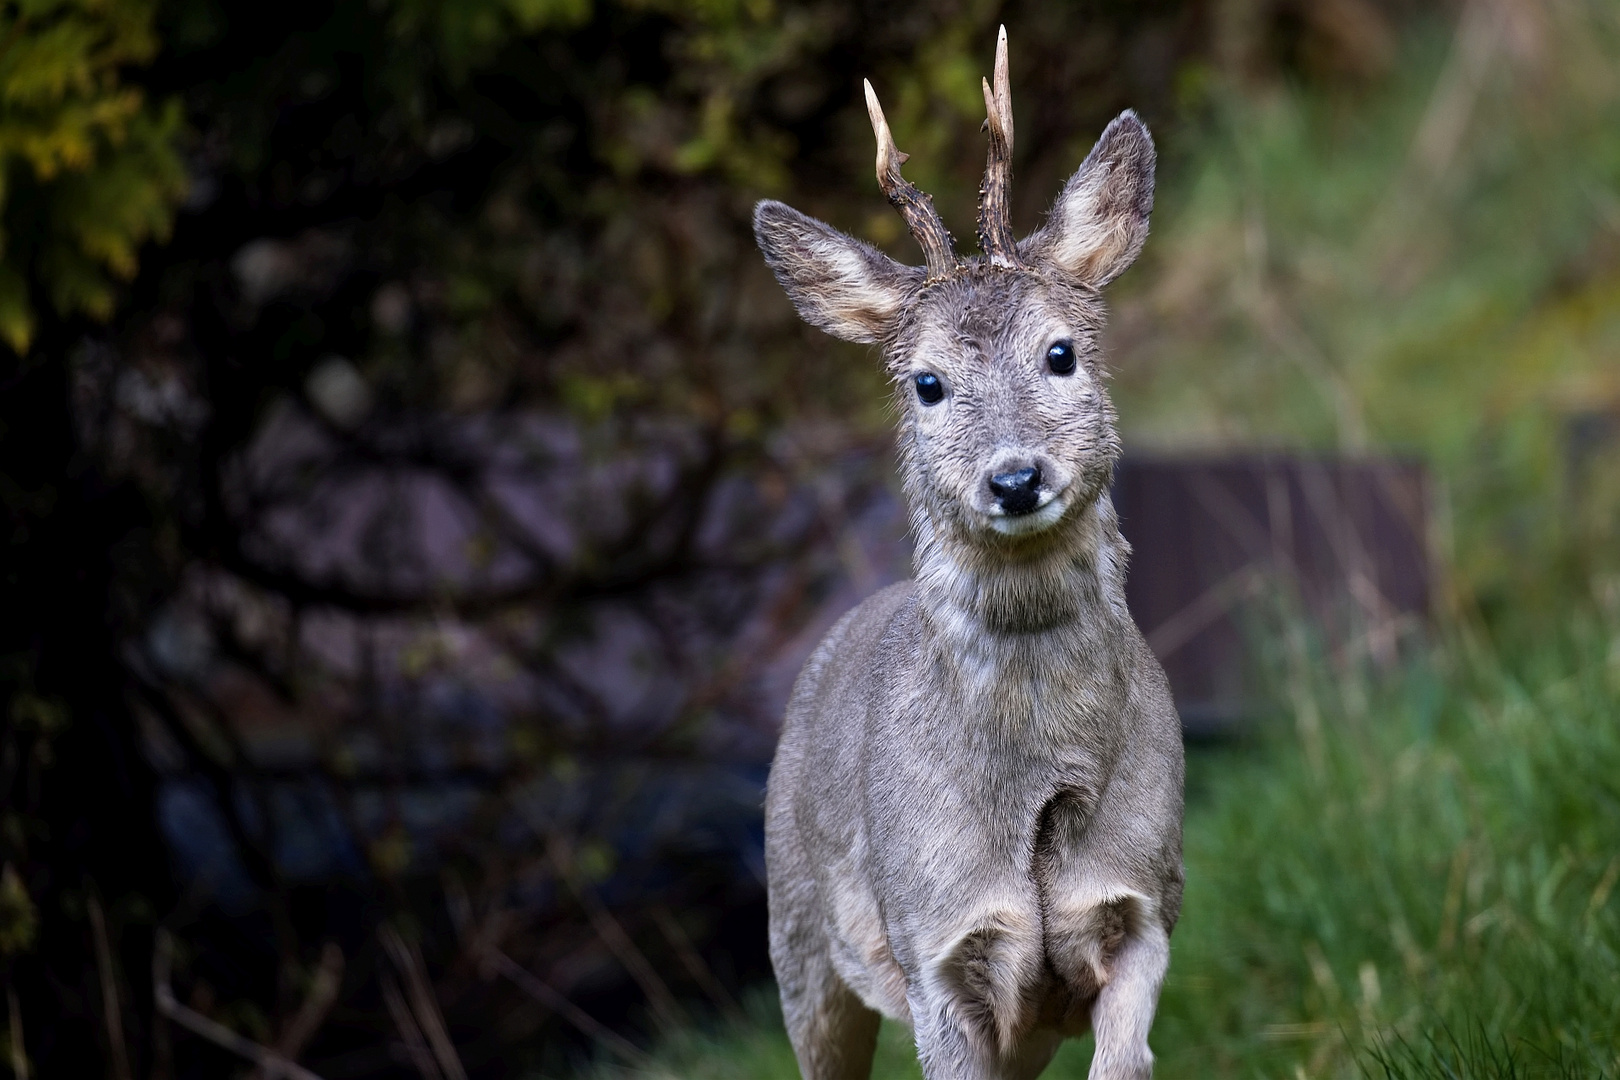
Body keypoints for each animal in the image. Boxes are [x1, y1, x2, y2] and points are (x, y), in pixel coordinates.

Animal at [751, 29, 1185, 1080]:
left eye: (1062, 352)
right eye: (927, 382)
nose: (1016, 478)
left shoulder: (1148, 902)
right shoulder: (934, 949)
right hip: (798, 944)